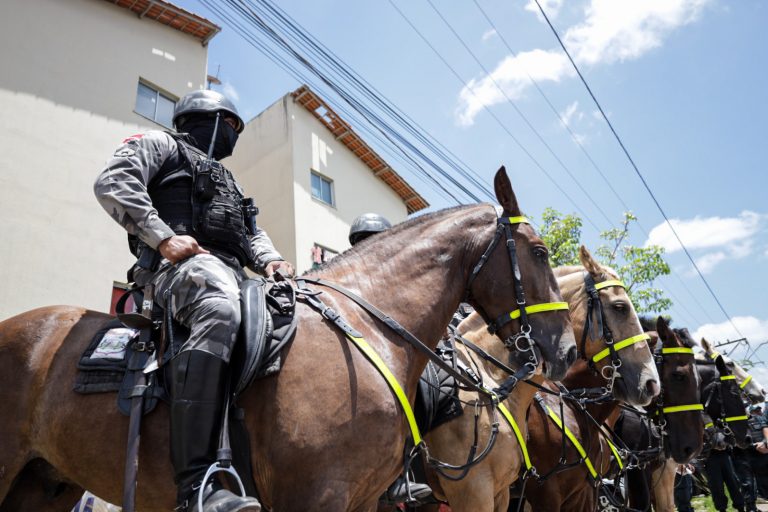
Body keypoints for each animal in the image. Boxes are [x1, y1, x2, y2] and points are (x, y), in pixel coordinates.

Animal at [0, 169, 576, 512]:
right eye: (541, 252)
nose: (566, 349)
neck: (366, 321)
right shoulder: (318, 495)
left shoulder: (366, 500)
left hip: (43, 484)